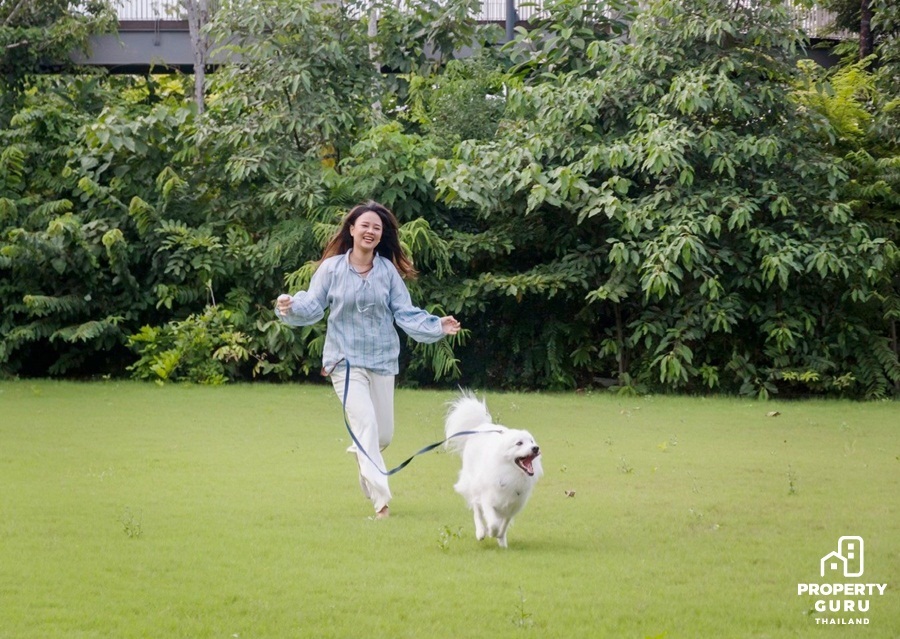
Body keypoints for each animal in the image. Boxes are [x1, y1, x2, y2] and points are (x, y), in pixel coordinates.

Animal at [444, 391, 543, 548]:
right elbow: (494, 523)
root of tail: (481, 425)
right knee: (476, 510)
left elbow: (504, 524)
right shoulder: (488, 500)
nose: (536, 448)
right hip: (474, 484)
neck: (512, 473)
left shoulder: (512, 506)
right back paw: (480, 532)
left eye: (531, 441)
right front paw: (490, 532)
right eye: (519, 443)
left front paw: (501, 538)